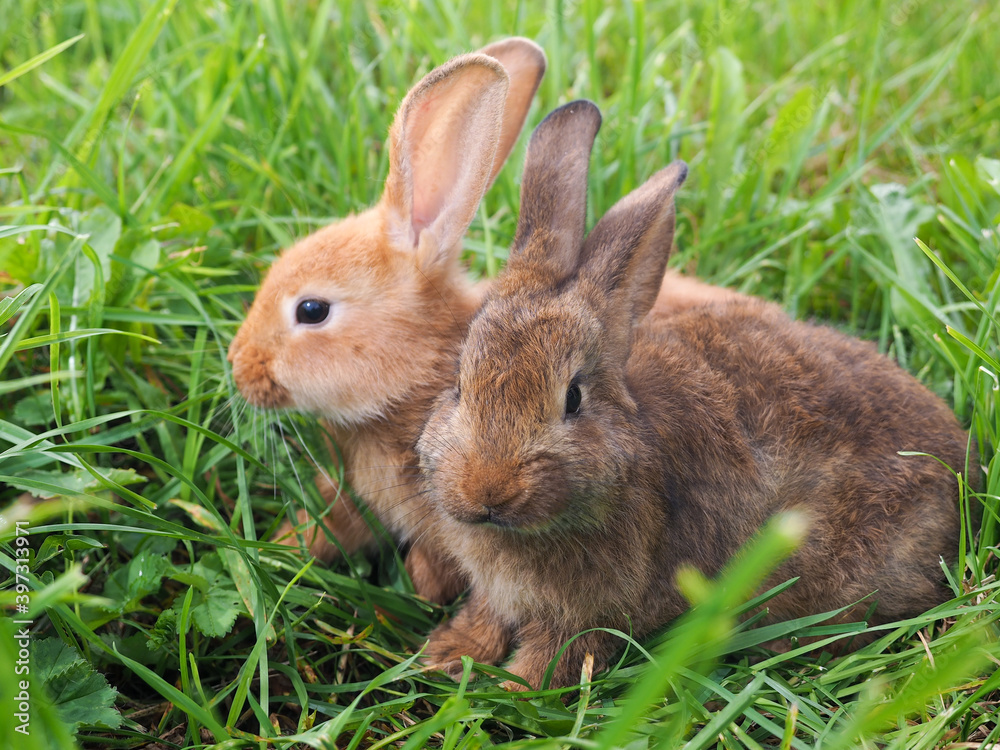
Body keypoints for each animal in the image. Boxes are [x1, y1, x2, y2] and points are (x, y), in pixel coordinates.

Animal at [418, 101, 972, 692]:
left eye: (573, 398)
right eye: (458, 384)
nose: (488, 491)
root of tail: (968, 464)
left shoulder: (589, 615)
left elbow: (555, 659)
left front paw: (511, 690)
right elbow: (486, 616)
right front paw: (446, 655)